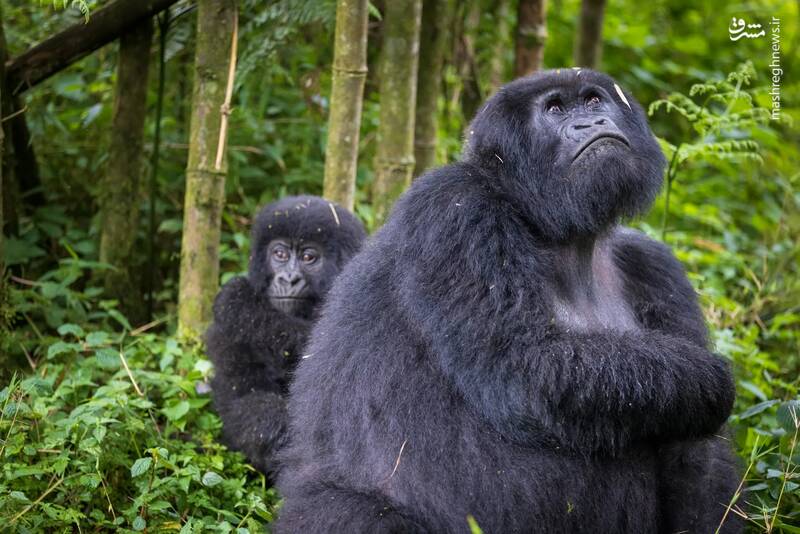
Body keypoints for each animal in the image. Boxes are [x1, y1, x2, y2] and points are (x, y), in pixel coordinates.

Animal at [206, 196, 368, 478]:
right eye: (280, 255)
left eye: (308, 257)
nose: (288, 279)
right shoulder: (224, 337)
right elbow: (243, 399)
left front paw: (238, 300)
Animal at [278, 72, 740, 534]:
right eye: (554, 109)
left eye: (593, 100)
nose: (591, 123)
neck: (556, 231)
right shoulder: (454, 209)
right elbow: (527, 364)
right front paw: (707, 379)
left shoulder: (655, 267)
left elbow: (701, 460)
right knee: (358, 515)